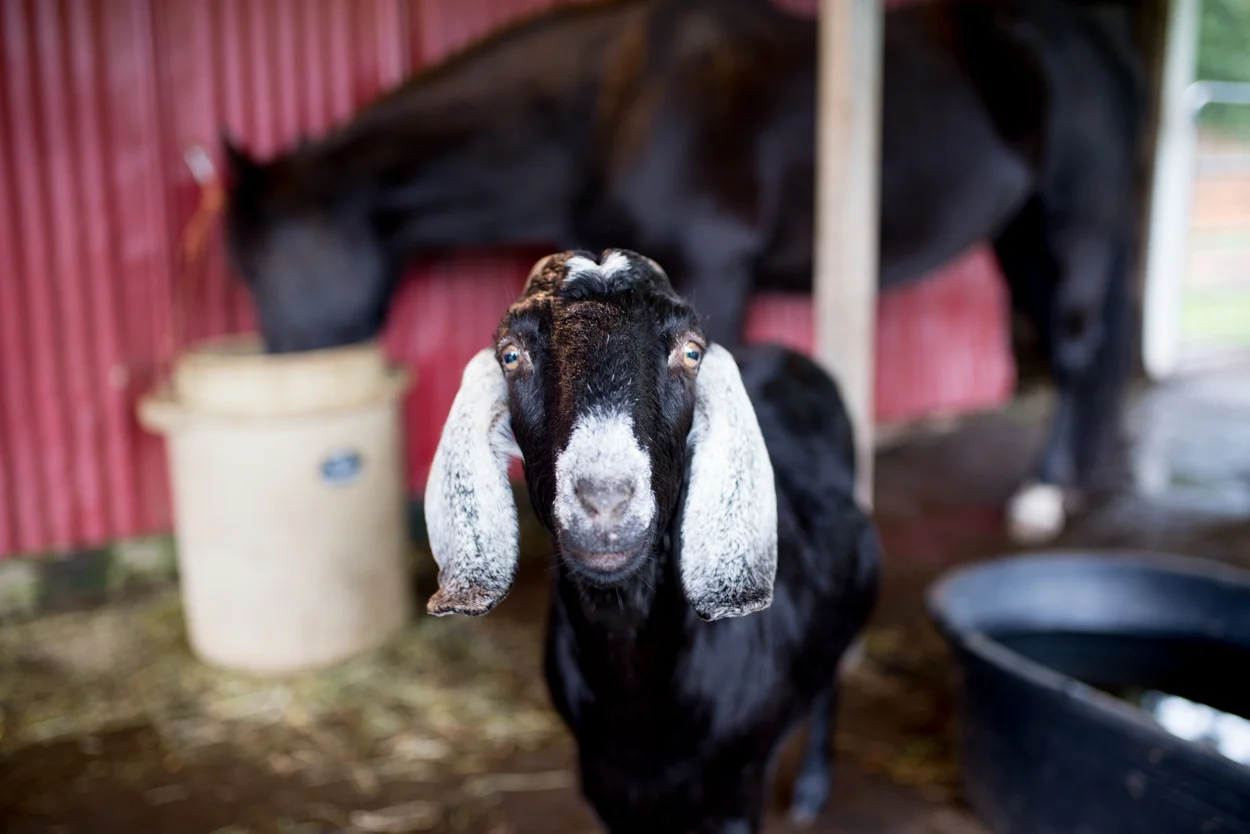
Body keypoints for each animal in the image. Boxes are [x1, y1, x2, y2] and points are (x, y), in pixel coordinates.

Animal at [424, 249, 880, 833]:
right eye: (510, 354)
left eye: (691, 351)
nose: (605, 499)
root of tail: (791, 354)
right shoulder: (607, 788)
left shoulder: (736, 794)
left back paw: (811, 789)